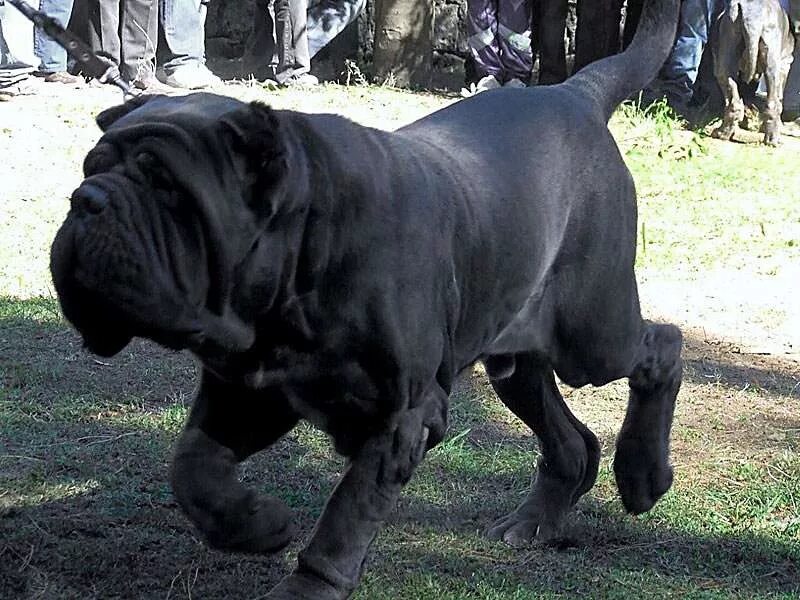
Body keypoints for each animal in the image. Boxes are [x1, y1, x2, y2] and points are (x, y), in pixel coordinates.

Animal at [47, 0, 680, 596]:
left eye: (166, 186)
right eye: (90, 167)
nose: (88, 199)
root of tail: (573, 92)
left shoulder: (399, 418)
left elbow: (343, 521)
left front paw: (304, 589)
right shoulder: (246, 392)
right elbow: (193, 468)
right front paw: (255, 523)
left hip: (590, 336)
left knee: (661, 346)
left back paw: (642, 477)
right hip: (515, 351)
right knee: (571, 439)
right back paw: (535, 520)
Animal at [712, 0, 792, 144]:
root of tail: (752, 10)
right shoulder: (785, 64)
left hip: (728, 43)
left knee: (733, 98)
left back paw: (723, 133)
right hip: (772, 59)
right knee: (773, 102)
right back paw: (773, 139)